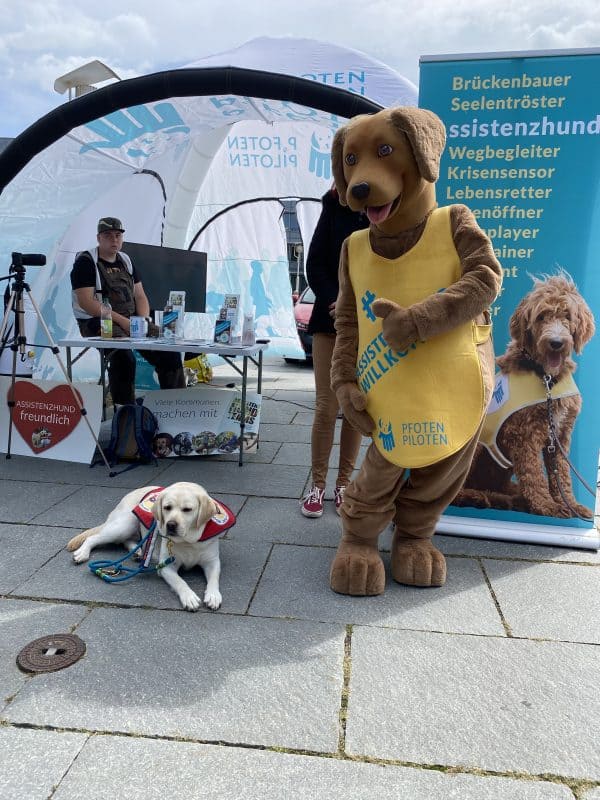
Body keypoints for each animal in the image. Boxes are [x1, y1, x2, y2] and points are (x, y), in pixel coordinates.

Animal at [67, 482, 232, 612]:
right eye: (167, 507)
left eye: (187, 509)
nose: (170, 525)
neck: (188, 542)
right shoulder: (166, 567)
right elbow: (180, 582)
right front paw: (189, 597)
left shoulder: (212, 562)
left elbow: (214, 579)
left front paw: (213, 595)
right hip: (124, 525)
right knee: (94, 537)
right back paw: (82, 553)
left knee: (128, 541)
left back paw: (139, 552)